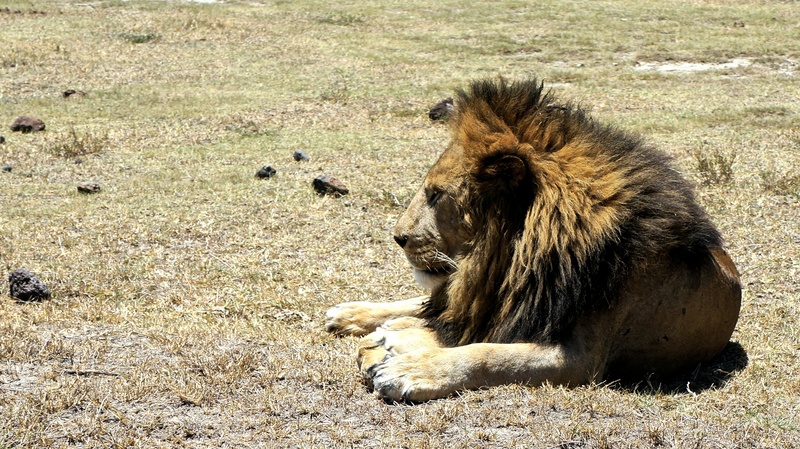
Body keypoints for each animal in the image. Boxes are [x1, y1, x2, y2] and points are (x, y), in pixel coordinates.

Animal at [326, 78, 741, 402]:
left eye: (435, 194)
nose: (398, 237)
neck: (520, 254)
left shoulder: (581, 358)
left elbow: (489, 354)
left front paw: (411, 371)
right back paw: (353, 315)